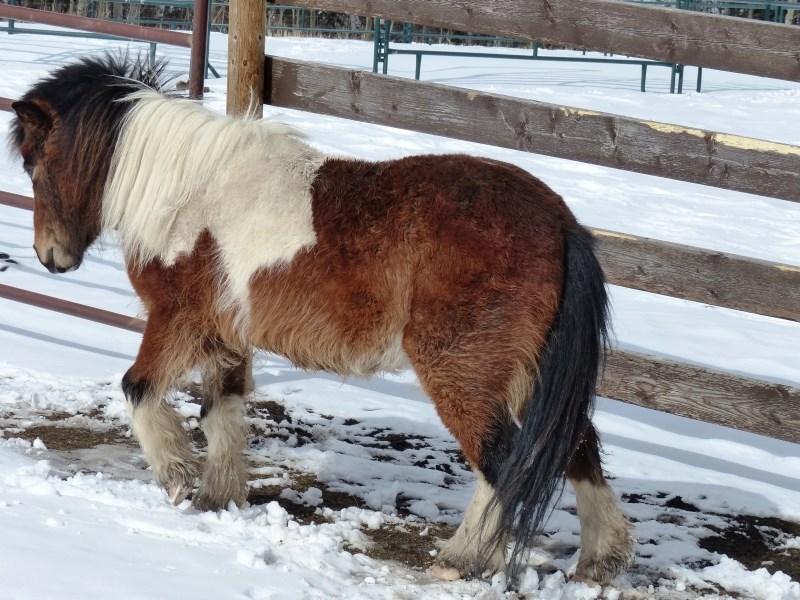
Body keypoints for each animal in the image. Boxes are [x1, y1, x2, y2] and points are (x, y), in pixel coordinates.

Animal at [7, 55, 632, 580]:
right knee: (577, 447)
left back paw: (461, 559)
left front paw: (177, 479)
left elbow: (138, 388)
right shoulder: (226, 334)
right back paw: (600, 560)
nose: (49, 257)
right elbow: (220, 410)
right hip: (530, 371)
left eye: (38, 165)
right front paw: (218, 496)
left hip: (464, 372)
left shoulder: (176, 320)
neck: (185, 195)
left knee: (501, 462)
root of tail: (560, 223)